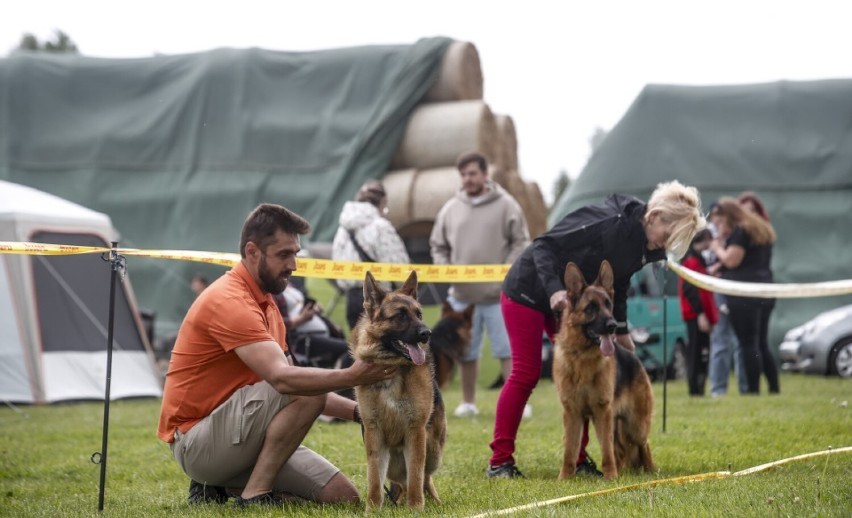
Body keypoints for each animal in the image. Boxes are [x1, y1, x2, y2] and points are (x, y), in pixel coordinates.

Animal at [350, 272, 450, 512]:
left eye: (419, 314)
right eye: (400, 316)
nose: (427, 333)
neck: (394, 369)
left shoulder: (416, 431)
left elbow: (416, 475)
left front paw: (415, 508)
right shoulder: (373, 433)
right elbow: (374, 479)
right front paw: (372, 510)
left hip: (432, 449)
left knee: (424, 478)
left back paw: (432, 502)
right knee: (400, 482)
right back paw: (399, 501)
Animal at [556, 262, 656, 482]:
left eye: (608, 304)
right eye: (591, 307)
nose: (613, 326)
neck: (582, 357)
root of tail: (634, 357)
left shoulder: (602, 411)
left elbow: (607, 451)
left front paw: (610, 477)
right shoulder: (572, 413)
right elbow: (569, 450)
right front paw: (565, 478)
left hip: (635, 425)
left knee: (644, 443)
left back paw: (651, 471)